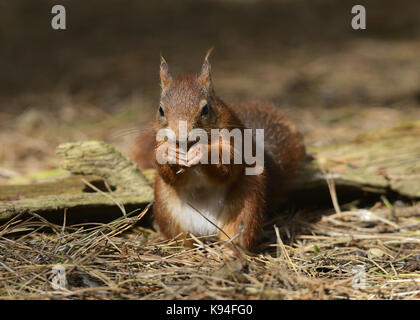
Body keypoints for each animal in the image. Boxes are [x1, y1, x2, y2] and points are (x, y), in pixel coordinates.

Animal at [131, 51, 306, 251]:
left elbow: (228, 165)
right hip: (165, 207)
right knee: (181, 237)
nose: (181, 136)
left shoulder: (234, 139)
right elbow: (168, 173)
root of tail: (206, 230)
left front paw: (202, 152)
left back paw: (231, 252)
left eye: (205, 109)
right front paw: (168, 154)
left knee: (238, 234)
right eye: (160, 110)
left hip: (246, 204)